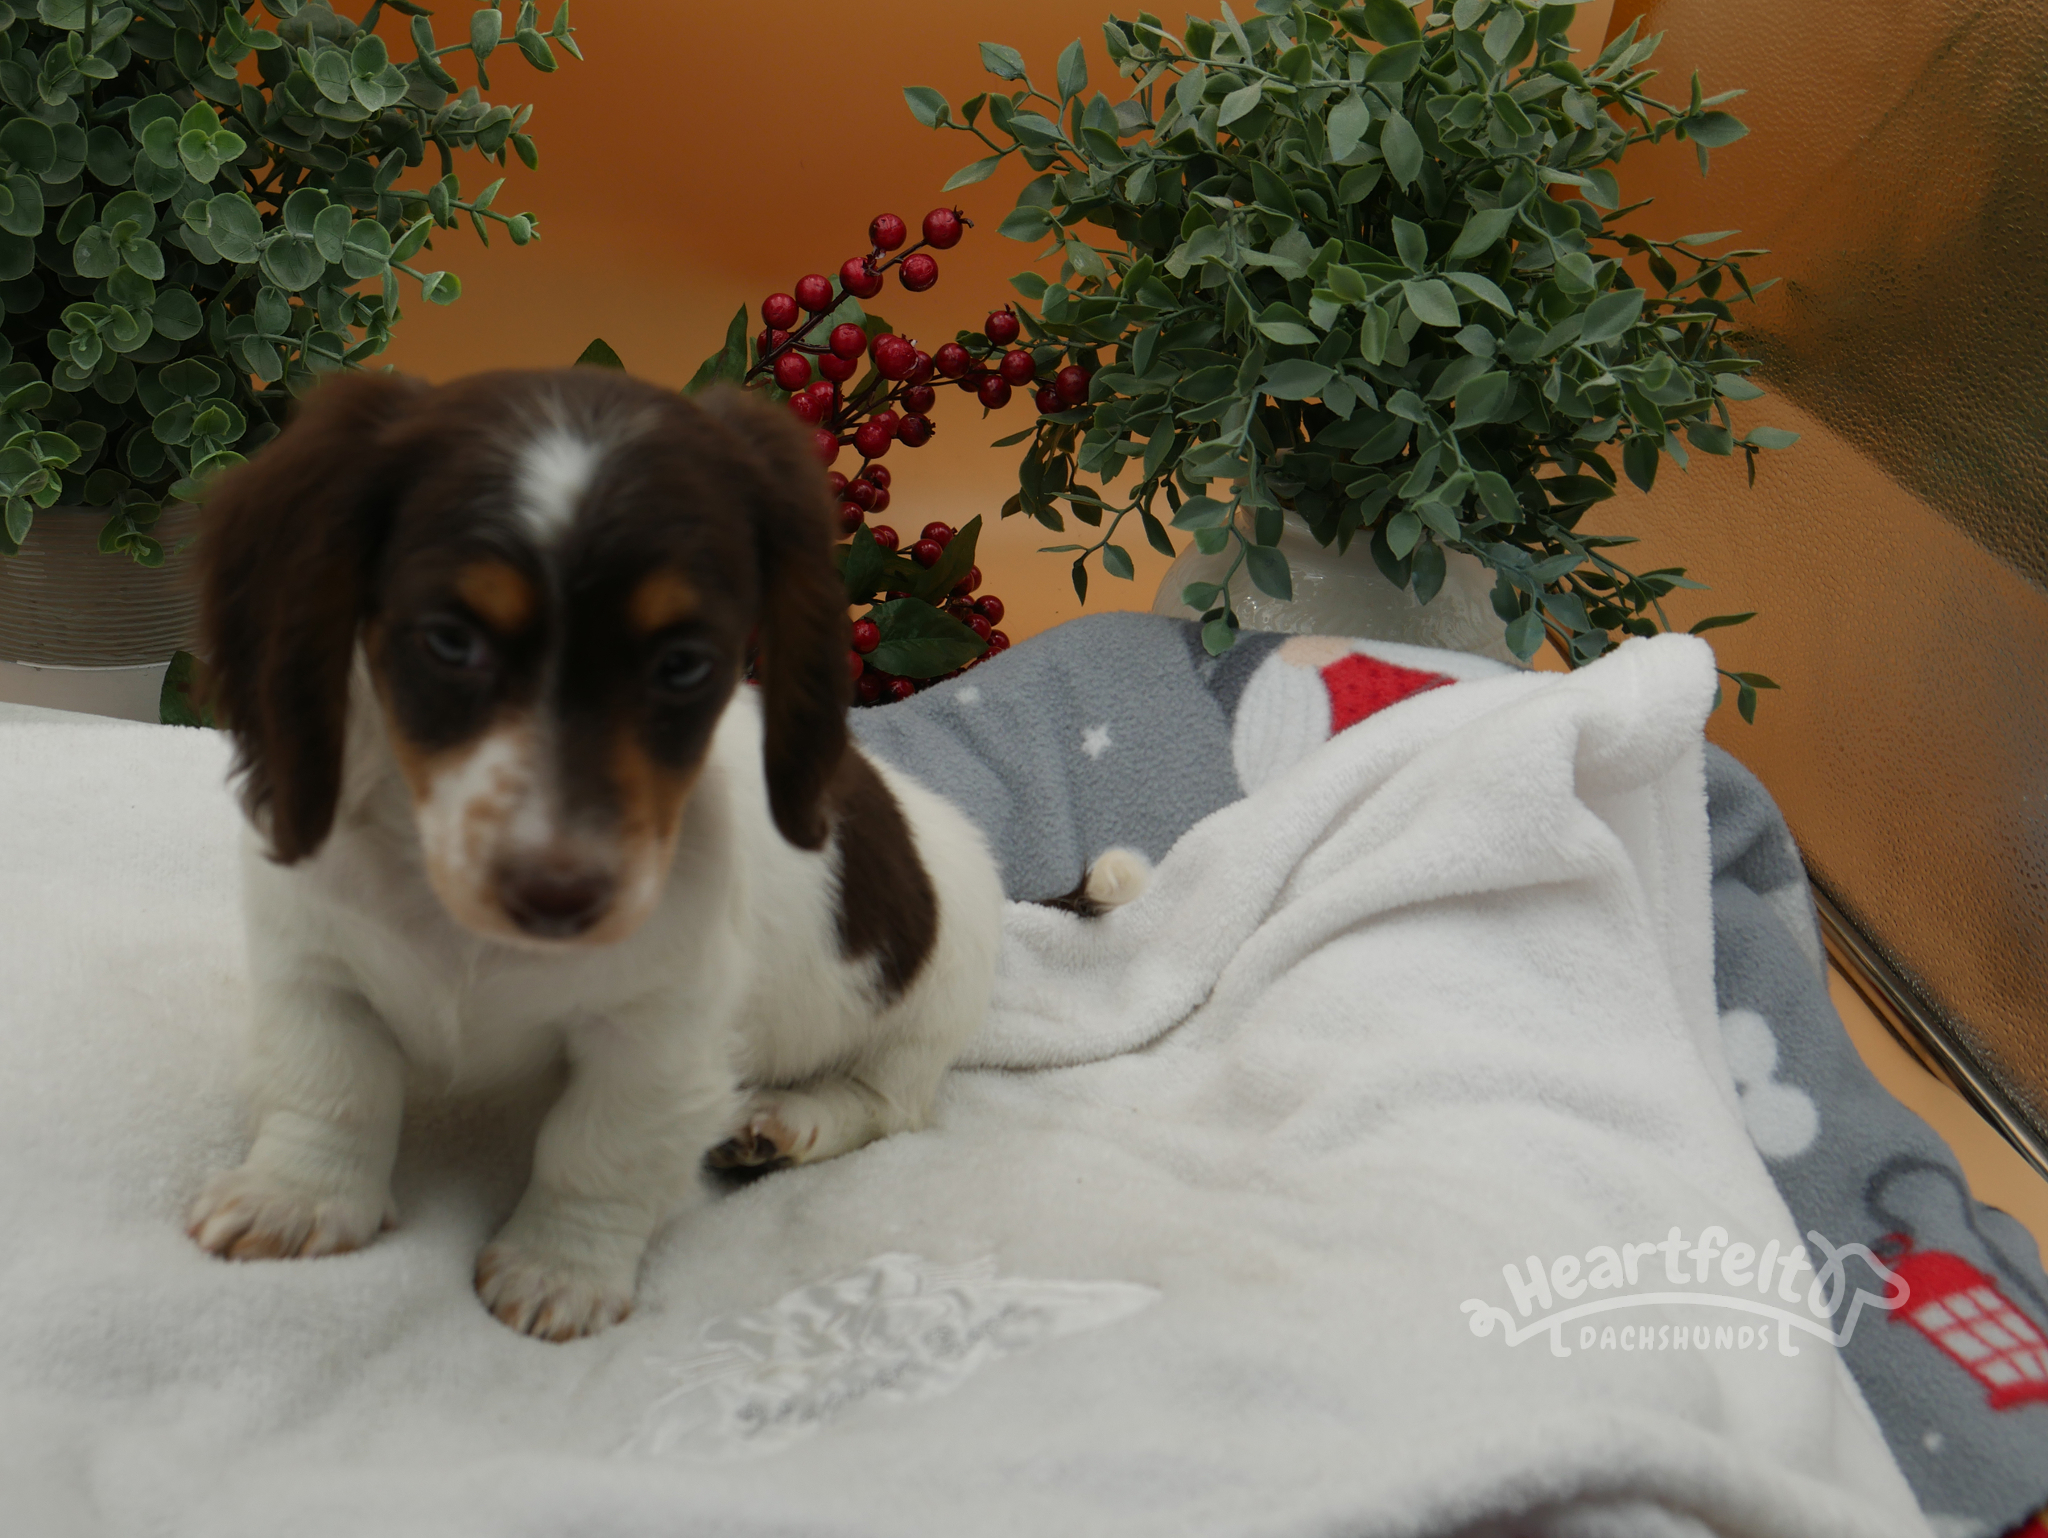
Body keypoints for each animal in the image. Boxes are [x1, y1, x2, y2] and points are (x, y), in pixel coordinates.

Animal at [184, 367, 1012, 1341]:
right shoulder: (315, 971)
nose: (559, 895)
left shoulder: (653, 1038)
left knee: (888, 1105)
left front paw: (558, 1269)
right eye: (450, 640)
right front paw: (298, 1199)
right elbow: (330, 1088)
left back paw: (785, 1120)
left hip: (923, 1011)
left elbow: (596, 1151)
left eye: (685, 663)